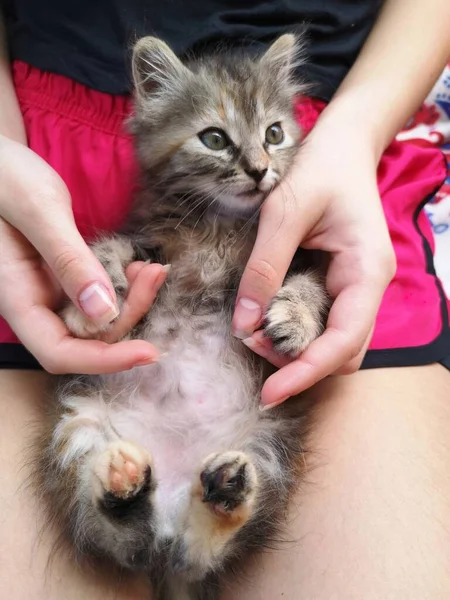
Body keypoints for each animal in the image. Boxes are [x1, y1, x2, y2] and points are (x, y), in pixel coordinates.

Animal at [35, 35, 328, 596]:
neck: (218, 225)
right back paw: (125, 486)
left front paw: (296, 322)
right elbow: (113, 247)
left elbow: (312, 285)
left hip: (267, 445)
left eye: (274, 133)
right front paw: (95, 301)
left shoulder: (298, 256)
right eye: (214, 139)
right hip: (77, 432)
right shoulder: (151, 243)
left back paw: (226, 493)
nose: (259, 169)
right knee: (129, 541)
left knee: (196, 555)